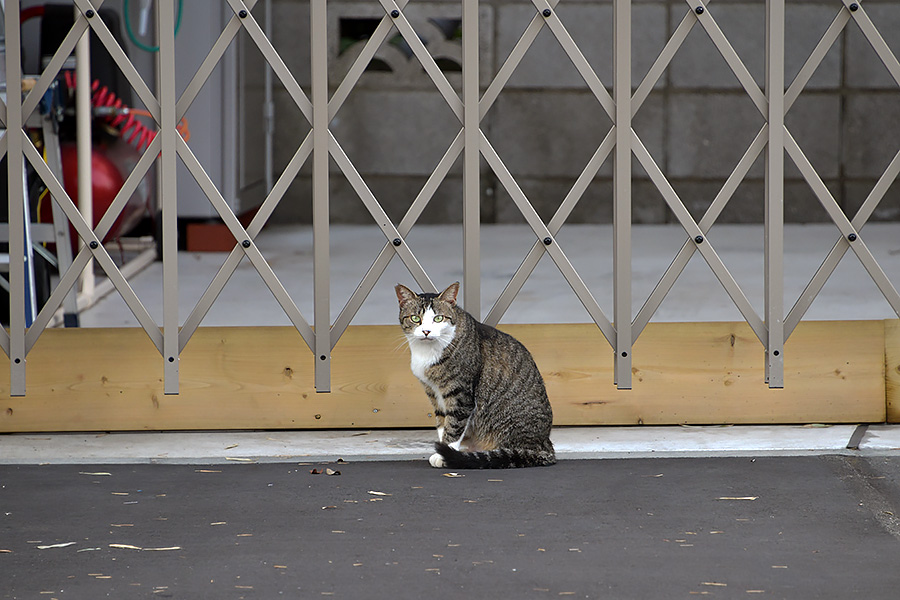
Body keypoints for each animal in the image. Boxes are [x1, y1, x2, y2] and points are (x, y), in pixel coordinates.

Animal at [396, 282, 556, 468]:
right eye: (415, 318)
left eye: (438, 318)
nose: (426, 331)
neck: (427, 352)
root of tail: (546, 445)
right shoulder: (433, 392)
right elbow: (442, 423)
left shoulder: (460, 394)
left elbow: (453, 425)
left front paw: (445, 453)